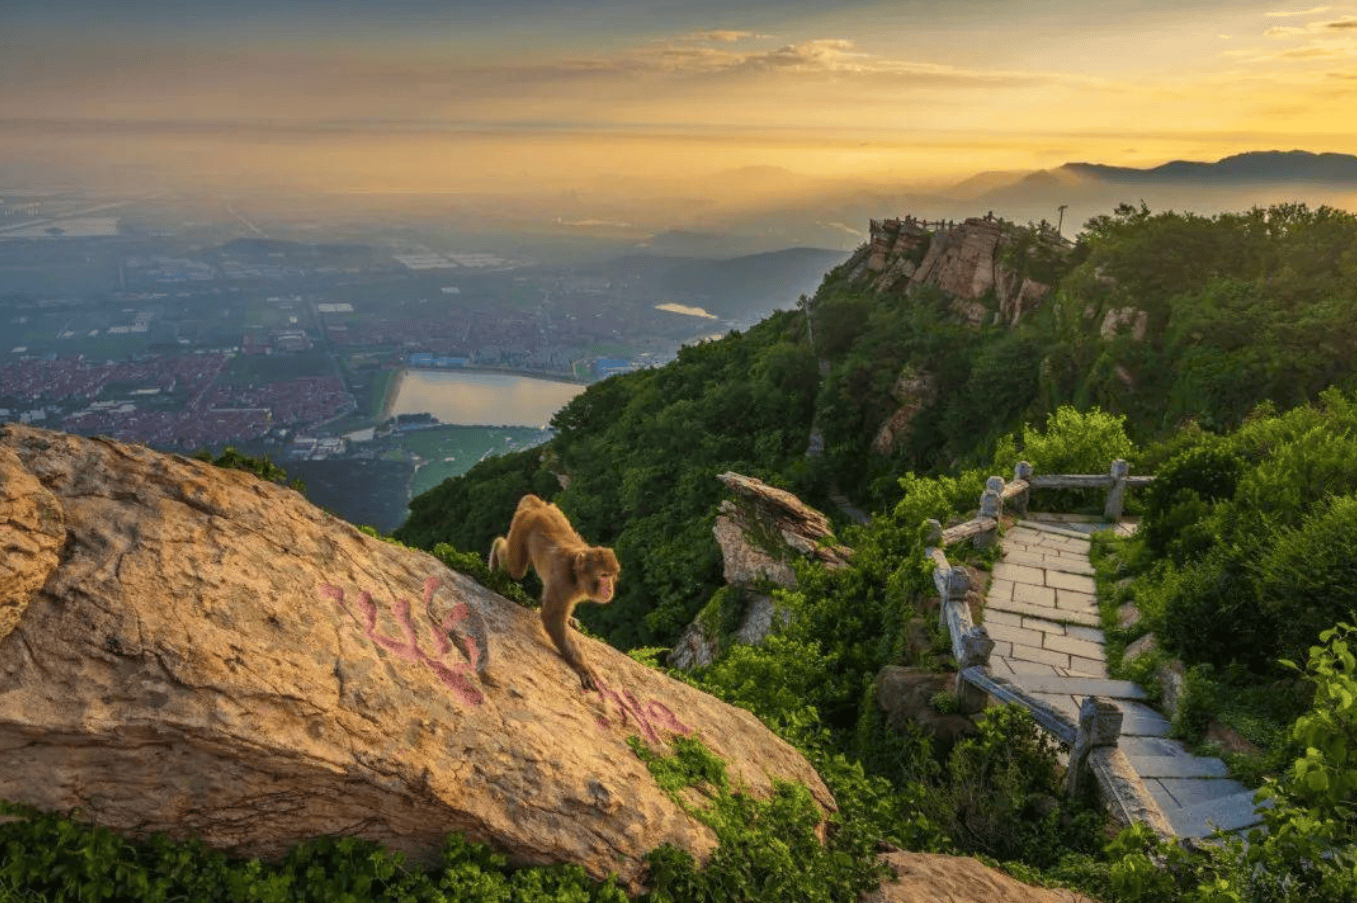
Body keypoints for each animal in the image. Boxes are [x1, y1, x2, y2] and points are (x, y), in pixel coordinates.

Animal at [488, 494, 621, 689]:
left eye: (612, 575)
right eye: (604, 575)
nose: (609, 588)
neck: (576, 574)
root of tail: (539, 506)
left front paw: (570, 620)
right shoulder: (562, 581)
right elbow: (552, 617)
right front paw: (582, 667)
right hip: (522, 525)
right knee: (515, 569)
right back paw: (496, 550)